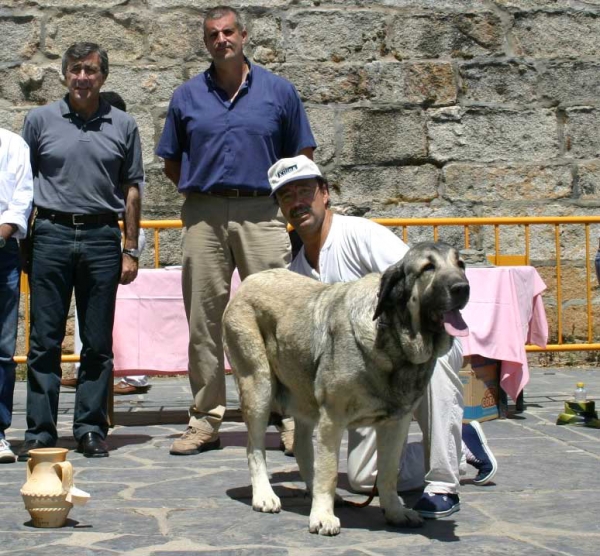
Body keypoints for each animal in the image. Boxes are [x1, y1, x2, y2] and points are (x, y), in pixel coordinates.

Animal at [223, 242, 472, 536]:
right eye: (428, 268)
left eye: (461, 265)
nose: (462, 287)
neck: (393, 339)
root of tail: (249, 281)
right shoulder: (333, 418)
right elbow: (329, 470)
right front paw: (322, 516)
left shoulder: (396, 424)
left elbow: (388, 473)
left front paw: (395, 512)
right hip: (258, 384)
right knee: (255, 447)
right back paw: (264, 495)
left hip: (304, 393)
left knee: (301, 446)